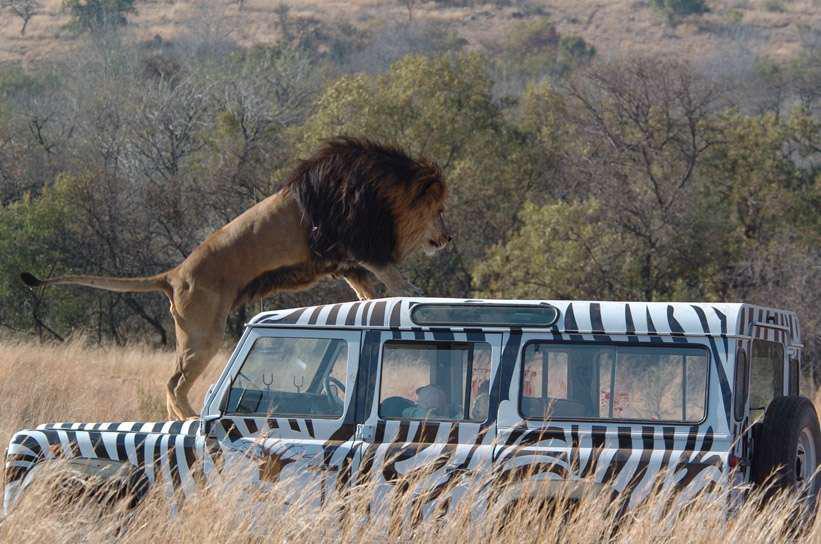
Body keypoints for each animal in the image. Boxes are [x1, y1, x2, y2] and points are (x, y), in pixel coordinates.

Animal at [19, 138, 452, 418]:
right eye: (441, 210)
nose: (449, 238)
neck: (380, 193)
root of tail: (173, 274)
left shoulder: (343, 259)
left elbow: (364, 285)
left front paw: (374, 303)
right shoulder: (352, 240)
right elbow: (387, 271)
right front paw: (411, 290)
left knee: (171, 381)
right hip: (203, 333)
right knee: (173, 382)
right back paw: (192, 418)